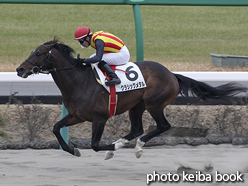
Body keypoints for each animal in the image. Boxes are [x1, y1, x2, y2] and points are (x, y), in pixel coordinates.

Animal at [16, 38, 247, 159]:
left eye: (38, 53)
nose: (20, 69)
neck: (79, 82)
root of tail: (172, 74)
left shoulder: (100, 118)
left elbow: (95, 145)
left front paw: (111, 149)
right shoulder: (76, 115)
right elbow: (56, 128)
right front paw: (73, 150)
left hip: (154, 103)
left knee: (162, 126)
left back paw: (136, 146)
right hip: (136, 106)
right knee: (137, 129)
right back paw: (125, 142)